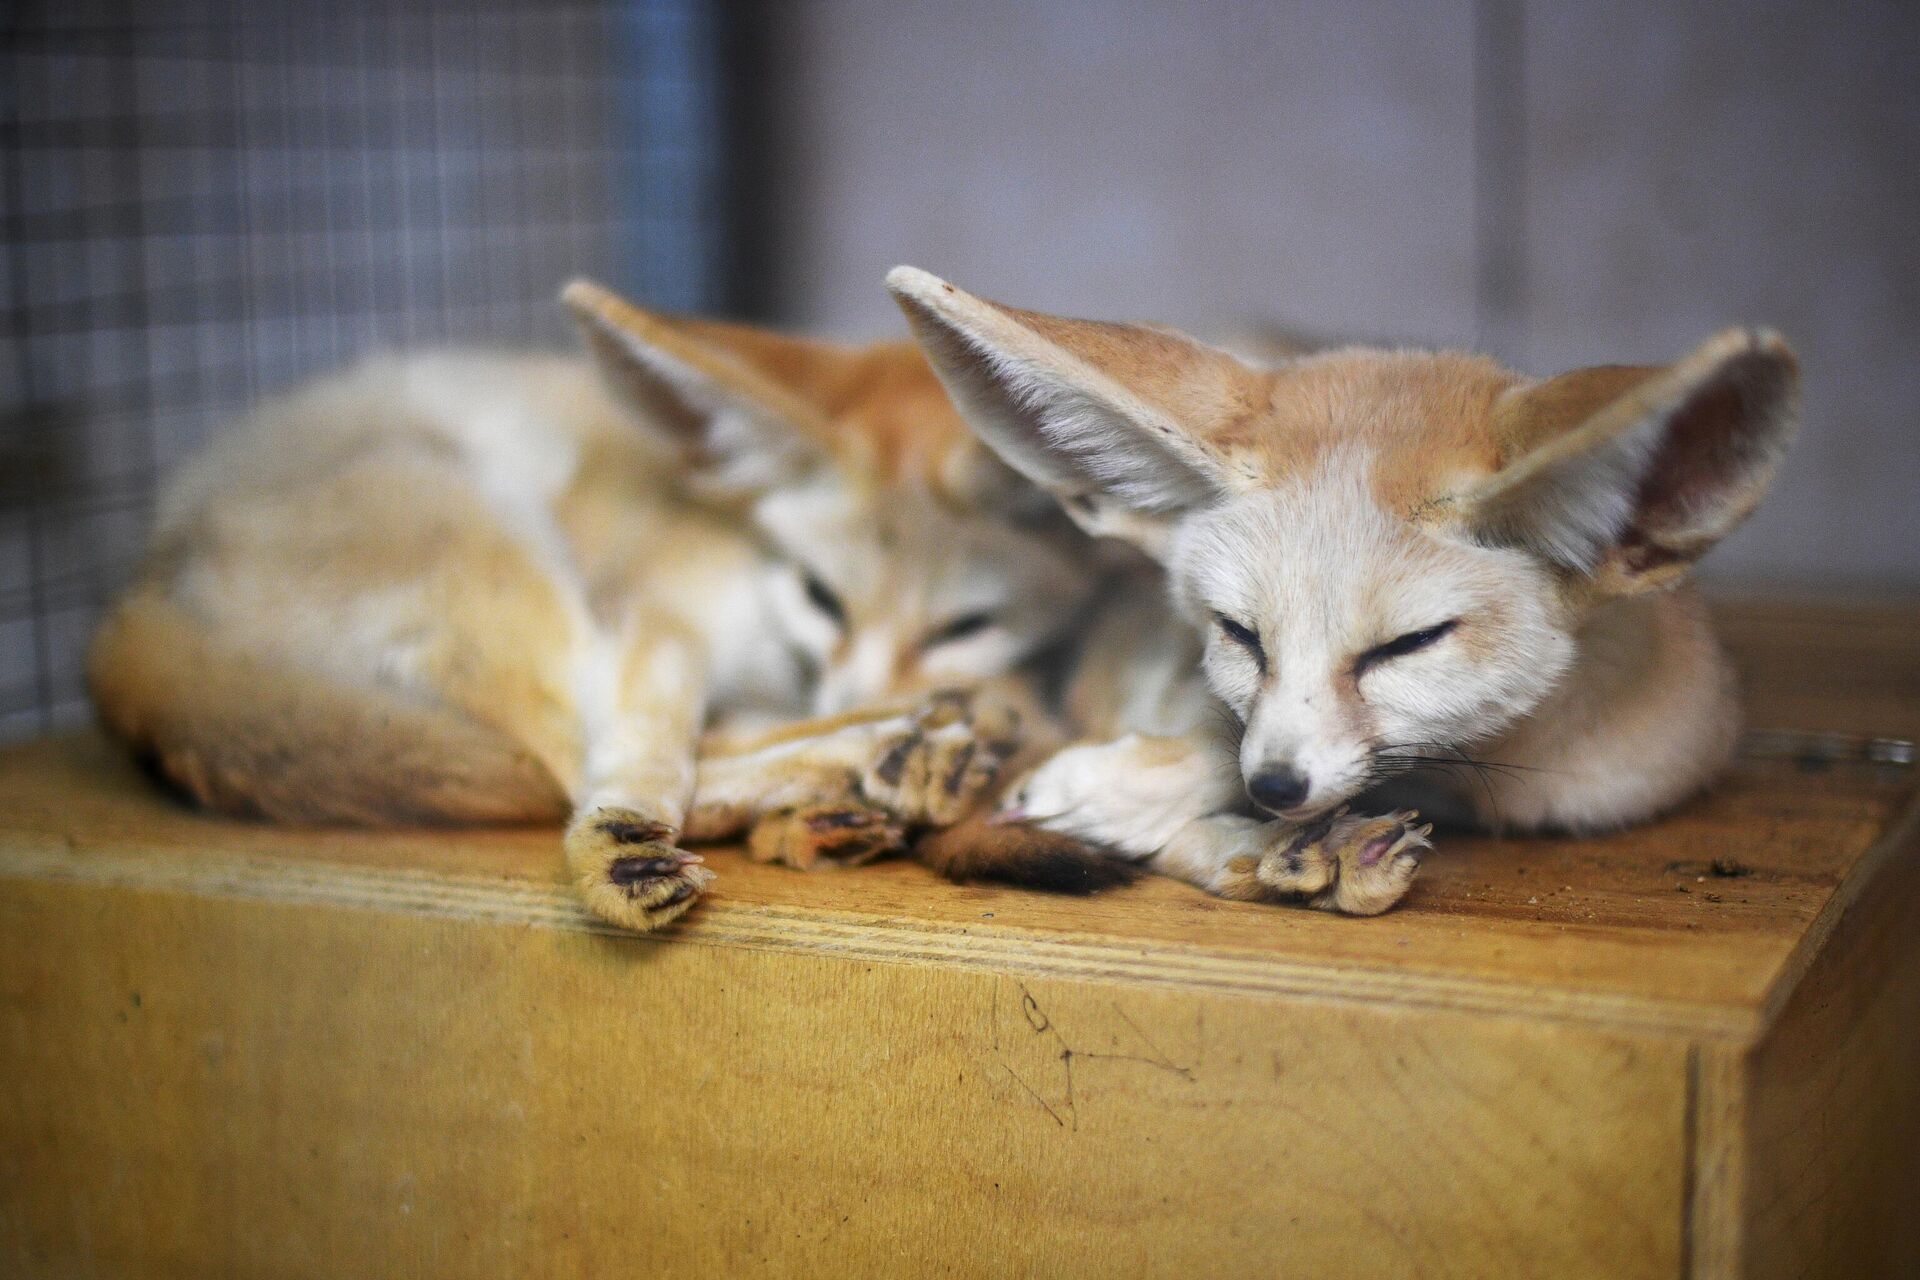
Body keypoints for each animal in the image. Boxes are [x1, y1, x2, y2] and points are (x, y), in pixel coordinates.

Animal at [93, 280, 1113, 932]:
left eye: (964, 626)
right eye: (819, 595)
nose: (851, 693)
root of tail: (138, 584)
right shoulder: (654, 612)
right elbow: (644, 757)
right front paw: (622, 848)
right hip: (494, 543)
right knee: (562, 757)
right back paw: (867, 758)